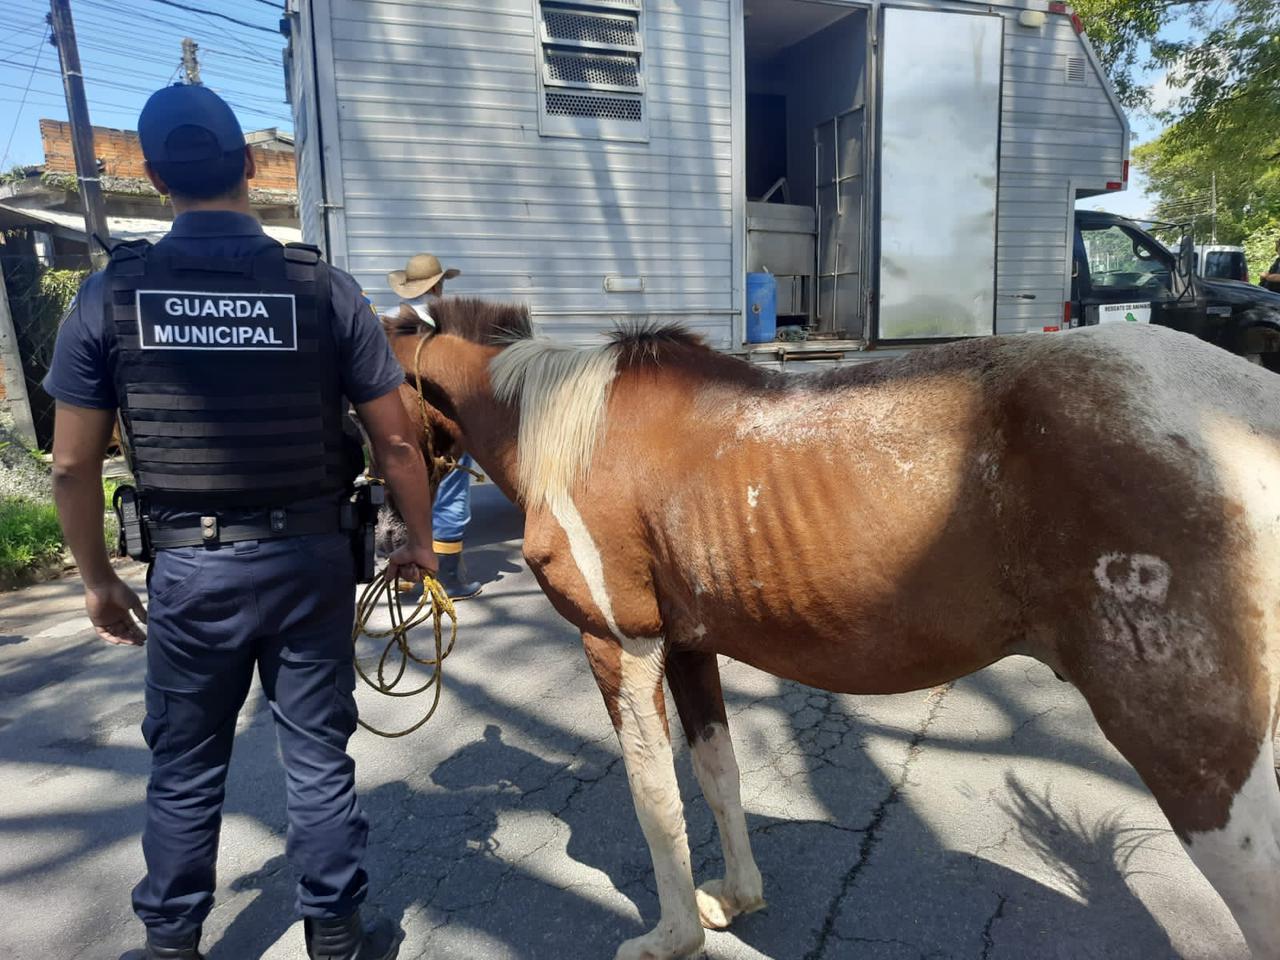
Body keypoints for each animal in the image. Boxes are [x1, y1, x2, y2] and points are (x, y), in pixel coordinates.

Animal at [384, 300, 1280, 960]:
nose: (394, 536)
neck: (566, 427)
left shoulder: (621, 644)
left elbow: (653, 795)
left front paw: (671, 937)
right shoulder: (690, 646)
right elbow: (716, 774)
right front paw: (734, 900)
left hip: (1194, 751)